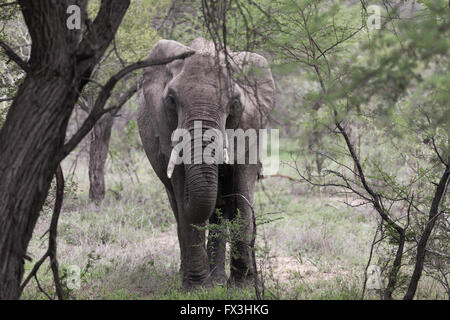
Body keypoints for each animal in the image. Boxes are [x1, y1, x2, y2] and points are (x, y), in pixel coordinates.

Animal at [138, 37, 274, 288]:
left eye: (234, 103)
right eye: (171, 100)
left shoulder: (249, 123)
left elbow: (241, 188)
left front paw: (244, 286)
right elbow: (183, 191)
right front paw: (196, 288)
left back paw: (218, 280)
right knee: (178, 204)